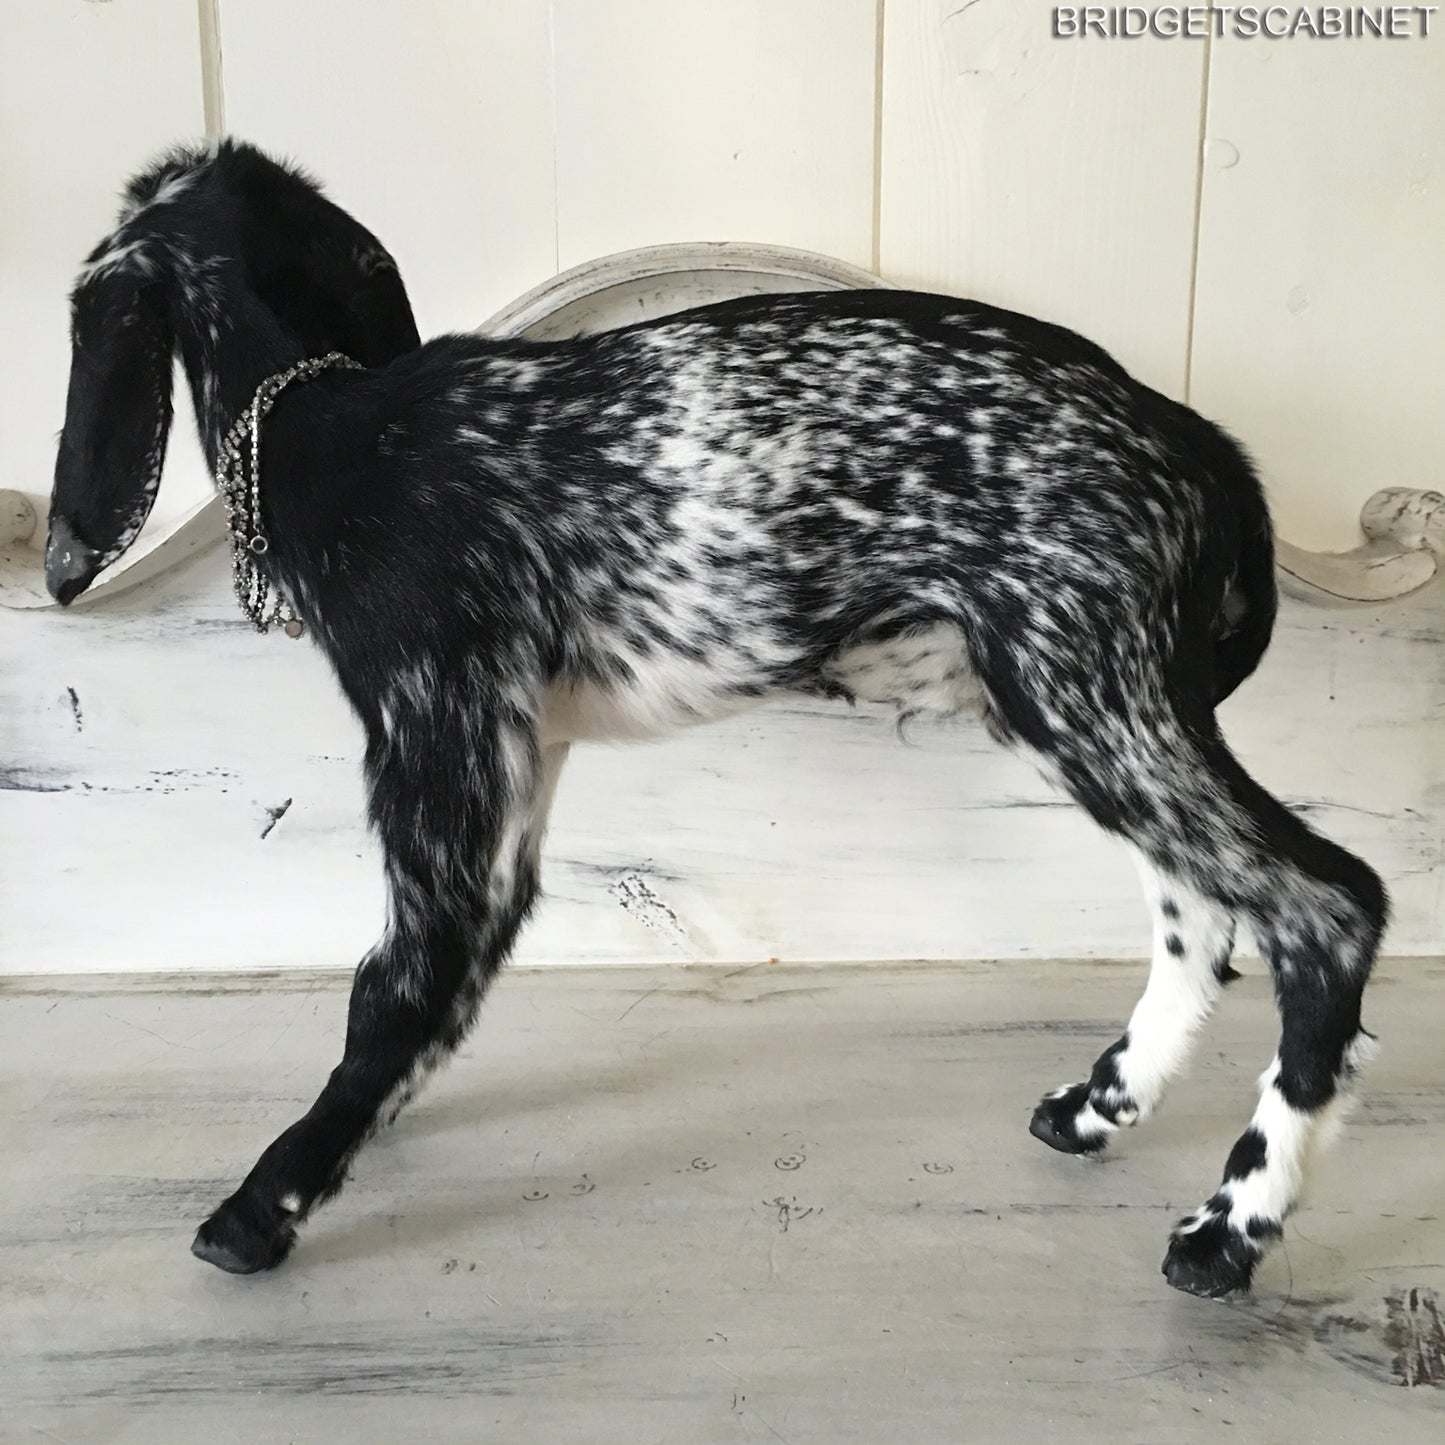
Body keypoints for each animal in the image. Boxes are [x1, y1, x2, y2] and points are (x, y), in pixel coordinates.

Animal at [47, 140, 1387, 1298]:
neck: (337, 428)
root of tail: (1195, 441)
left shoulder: (442, 760)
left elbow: (393, 993)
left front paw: (268, 1199)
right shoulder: (520, 765)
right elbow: (428, 1004)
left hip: (1088, 697)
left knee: (1323, 904)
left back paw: (1230, 1227)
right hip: (1096, 704)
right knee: (1199, 914)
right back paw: (1102, 1107)